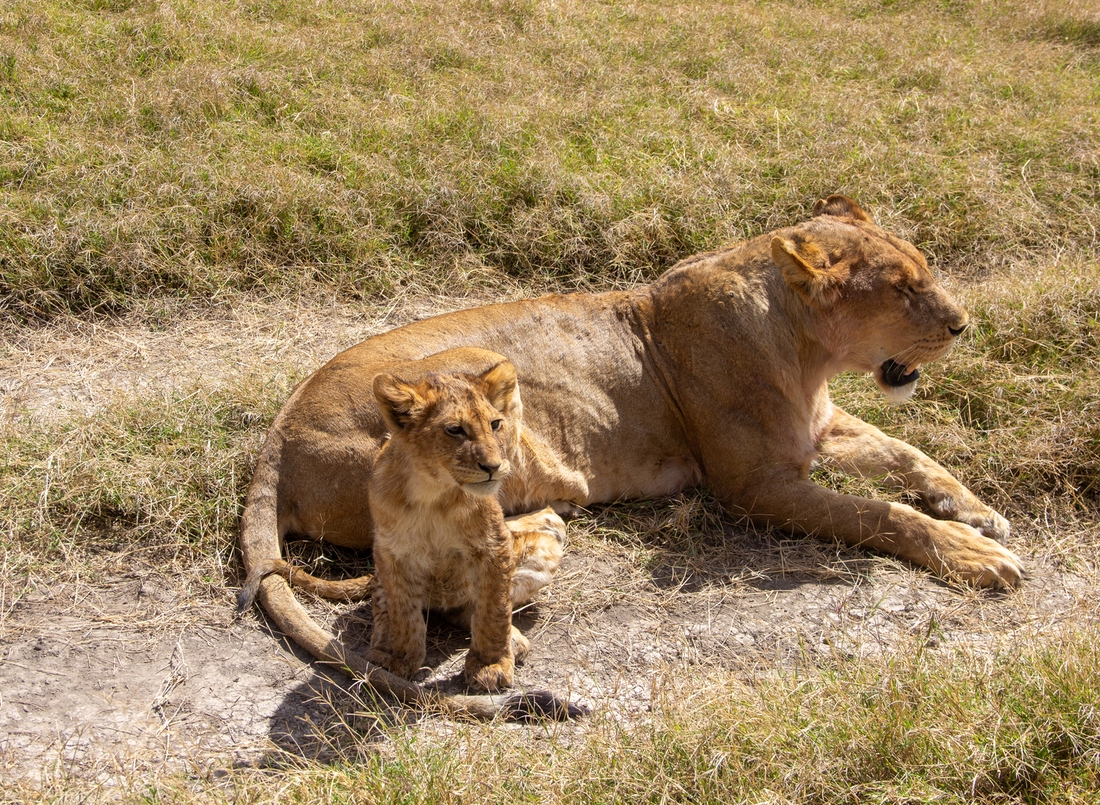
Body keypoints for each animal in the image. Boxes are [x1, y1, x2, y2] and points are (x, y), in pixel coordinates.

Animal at [239, 194, 1022, 717]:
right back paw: (525, 569)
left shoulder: (821, 428)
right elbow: (881, 513)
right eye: (903, 289)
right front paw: (974, 553)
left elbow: (909, 453)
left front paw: (975, 509)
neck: (807, 351)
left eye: (925, 271)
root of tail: (275, 437)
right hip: (480, 402)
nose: (963, 324)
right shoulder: (753, 487)